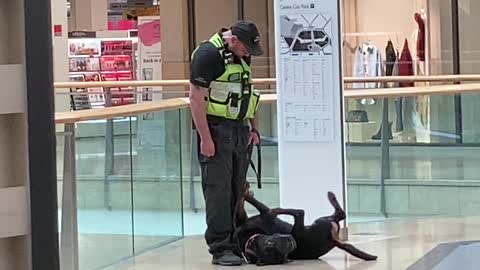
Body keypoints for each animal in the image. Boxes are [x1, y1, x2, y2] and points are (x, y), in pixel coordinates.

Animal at [235, 190, 378, 266]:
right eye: (270, 246)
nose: (291, 242)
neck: (249, 239)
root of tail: (332, 240)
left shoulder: (258, 216)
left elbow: (249, 203)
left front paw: (246, 193)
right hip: (320, 222)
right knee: (338, 214)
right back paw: (331, 196)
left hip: (314, 222)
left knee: (299, 211)